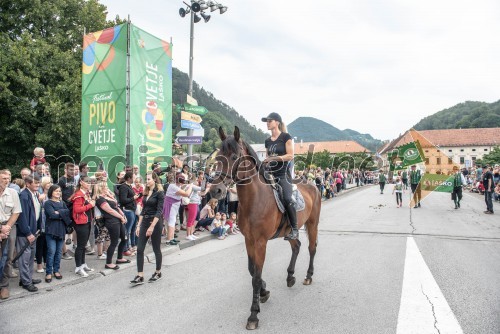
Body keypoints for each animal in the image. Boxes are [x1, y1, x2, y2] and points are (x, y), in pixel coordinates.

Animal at [210, 126, 320, 330]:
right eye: (219, 156)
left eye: (234, 155)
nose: (216, 190)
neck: (254, 199)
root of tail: (313, 184)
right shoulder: (249, 240)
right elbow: (252, 270)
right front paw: (264, 292)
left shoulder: (261, 242)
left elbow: (255, 275)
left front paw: (253, 315)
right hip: (289, 231)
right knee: (297, 246)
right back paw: (290, 277)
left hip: (312, 223)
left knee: (311, 248)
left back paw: (308, 276)